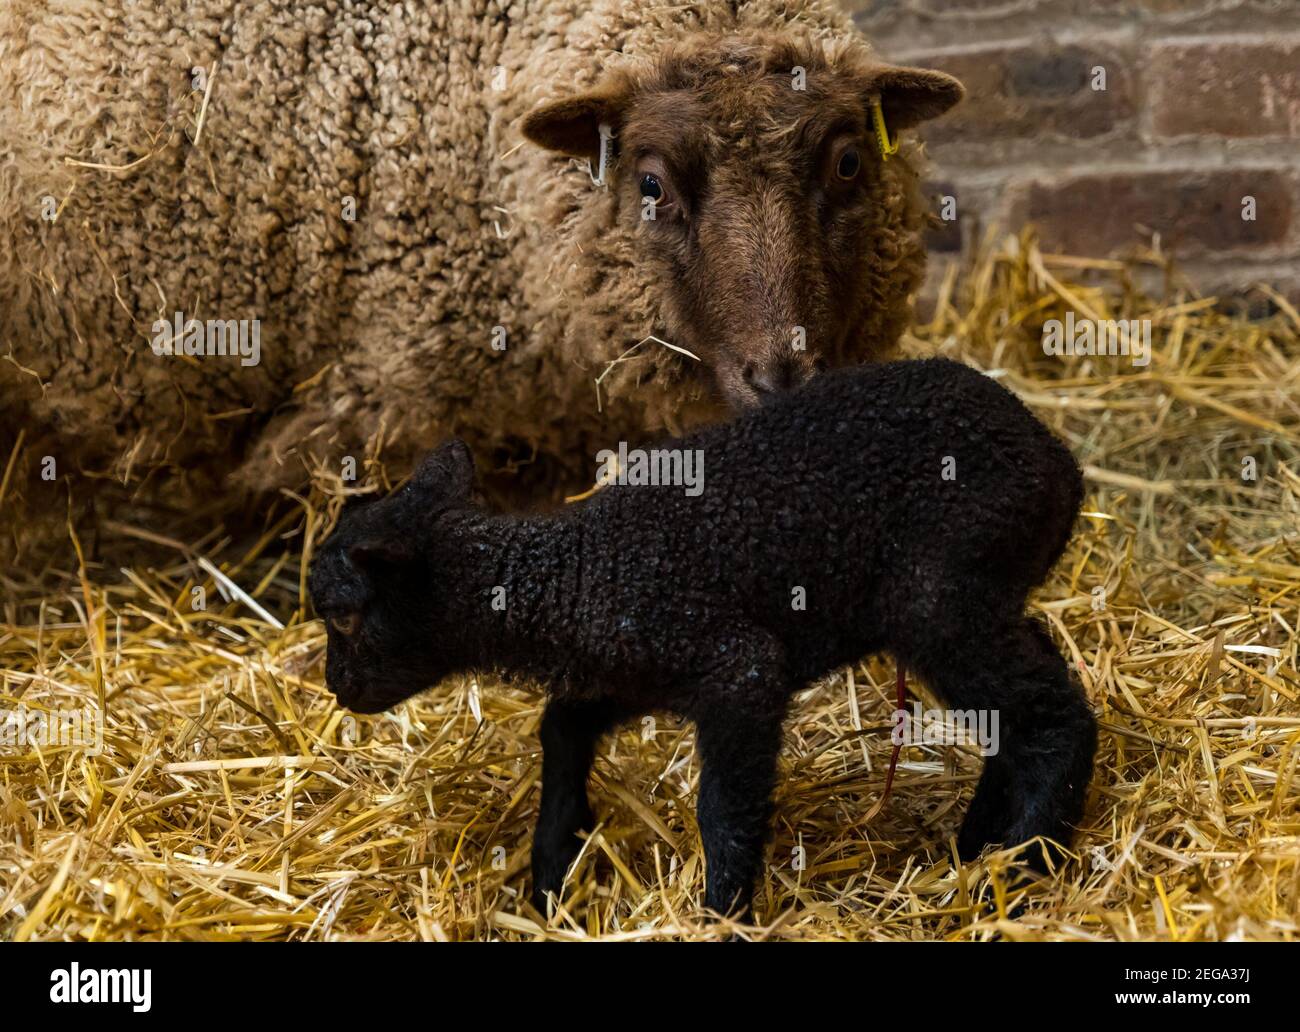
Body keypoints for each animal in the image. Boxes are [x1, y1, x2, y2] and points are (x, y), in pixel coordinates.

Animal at [312, 356, 1097, 915]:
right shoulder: (633, 672)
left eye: (344, 616)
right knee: (1020, 706)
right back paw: (979, 847)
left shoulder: (735, 669)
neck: (575, 576)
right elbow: (562, 727)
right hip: (982, 597)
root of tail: (1062, 465)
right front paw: (553, 870)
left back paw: (1025, 865)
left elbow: (722, 810)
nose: (336, 687)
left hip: (942, 598)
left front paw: (722, 910)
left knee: (1056, 719)